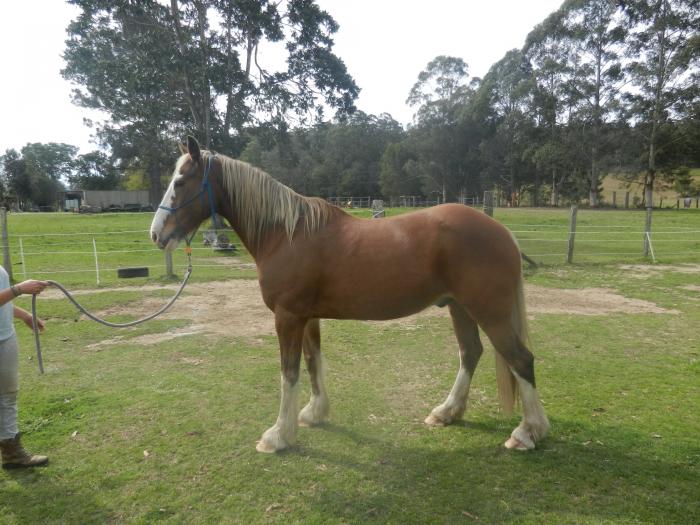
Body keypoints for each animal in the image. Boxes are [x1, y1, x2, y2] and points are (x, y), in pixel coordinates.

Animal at [150, 136, 550, 453]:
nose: (157, 234)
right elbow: (312, 362)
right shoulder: (306, 316)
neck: (286, 234)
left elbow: (289, 372)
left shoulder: (287, 317)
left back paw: (527, 432)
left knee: (521, 359)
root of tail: (501, 230)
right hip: (459, 307)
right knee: (471, 353)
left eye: (181, 181)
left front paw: (278, 435)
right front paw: (314, 413)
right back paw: (447, 412)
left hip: (489, 311)